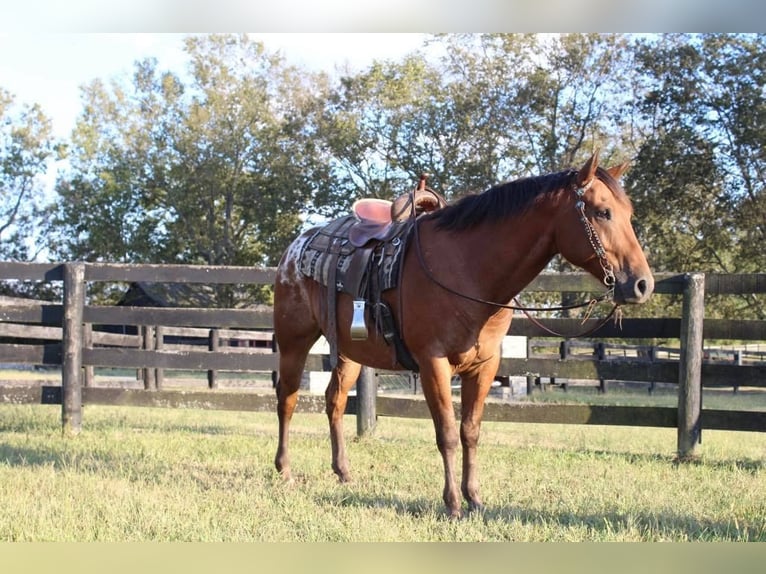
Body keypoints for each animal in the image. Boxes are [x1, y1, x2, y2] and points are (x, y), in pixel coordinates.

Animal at [272, 151, 656, 520]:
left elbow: (470, 431)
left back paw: (343, 472)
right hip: (294, 342)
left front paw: (475, 499)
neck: (468, 270)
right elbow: (446, 434)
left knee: (334, 400)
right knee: (287, 398)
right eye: (603, 212)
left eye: (629, 213)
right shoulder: (433, 363)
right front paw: (453, 503)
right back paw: (285, 470)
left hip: (351, 352)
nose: (642, 284)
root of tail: (295, 248)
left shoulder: (484, 366)